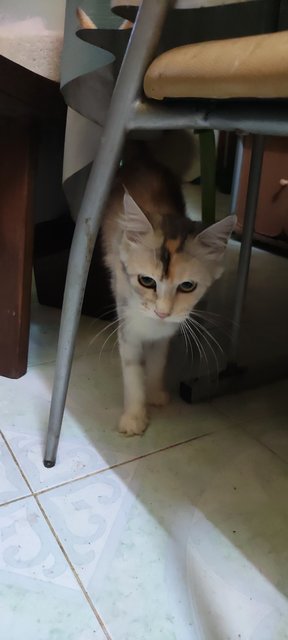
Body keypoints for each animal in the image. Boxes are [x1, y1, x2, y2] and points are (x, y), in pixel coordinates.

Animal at [100, 149, 234, 436]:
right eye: (146, 281)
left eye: (187, 286)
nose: (162, 312)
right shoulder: (128, 326)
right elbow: (133, 371)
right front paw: (135, 417)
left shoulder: (165, 334)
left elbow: (158, 361)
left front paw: (155, 394)